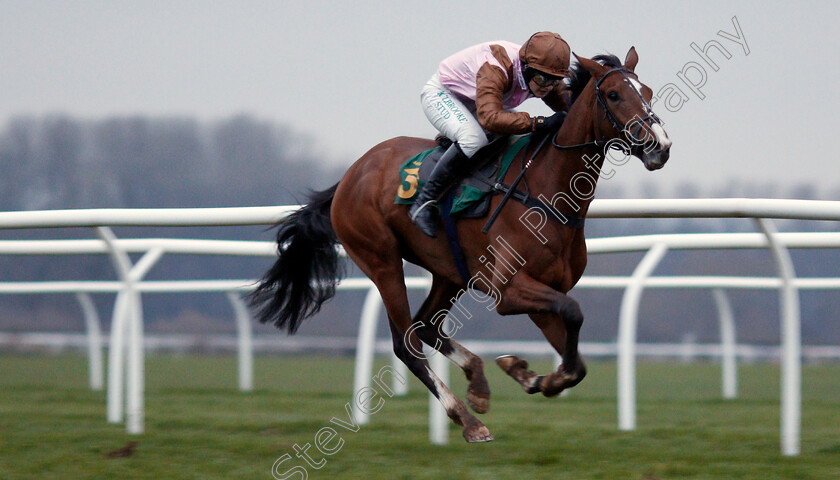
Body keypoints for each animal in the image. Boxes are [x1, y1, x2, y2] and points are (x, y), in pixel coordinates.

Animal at [249, 48, 668, 442]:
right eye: (614, 94)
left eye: (647, 92)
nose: (660, 146)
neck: (547, 193)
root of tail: (351, 175)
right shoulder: (508, 290)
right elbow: (574, 313)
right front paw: (528, 375)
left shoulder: (544, 290)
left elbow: (575, 359)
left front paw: (529, 375)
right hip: (381, 259)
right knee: (406, 342)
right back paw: (468, 421)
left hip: (449, 271)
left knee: (426, 326)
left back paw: (478, 384)